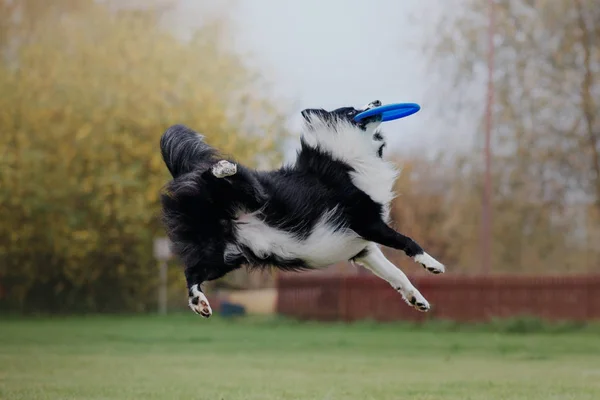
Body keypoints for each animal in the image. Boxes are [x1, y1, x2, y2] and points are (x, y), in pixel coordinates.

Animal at [159, 101, 446, 318]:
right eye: (352, 110)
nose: (377, 101)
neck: (345, 157)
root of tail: (186, 174)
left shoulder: (361, 247)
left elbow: (395, 273)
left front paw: (416, 298)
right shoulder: (366, 222)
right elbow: (407, 241)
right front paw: (432, 264)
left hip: (224, 254)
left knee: (192, 272)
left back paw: (200, 304)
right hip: (250, 196)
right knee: (220, 175)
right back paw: (224, 168)